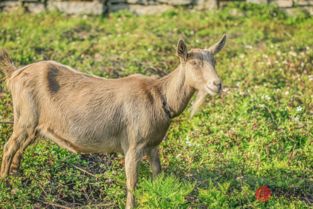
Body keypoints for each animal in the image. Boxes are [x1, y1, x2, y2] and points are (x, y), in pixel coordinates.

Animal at [0, 35, 224, 208]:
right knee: (9, 147)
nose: (217, 84)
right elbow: (132, 182)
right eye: (194, 63)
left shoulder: (153, 145)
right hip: (26, 118)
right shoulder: (133, 144)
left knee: (21, 147)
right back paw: (5, 184)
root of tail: (14, 74)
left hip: (34, 123)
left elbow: (158, 174)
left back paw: (17, 178)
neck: (160, 97)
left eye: (214, 62)